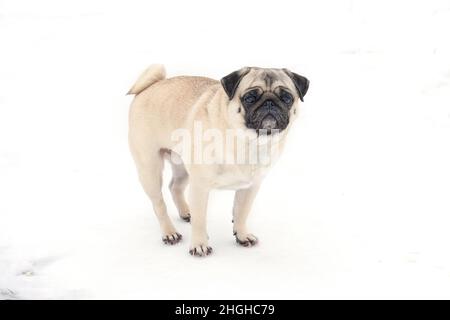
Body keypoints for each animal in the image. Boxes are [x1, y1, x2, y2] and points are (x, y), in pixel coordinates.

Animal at [128, 65, 308, 258]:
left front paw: (242, 234)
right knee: (158, 204)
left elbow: (242, 212)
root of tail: (150, 86)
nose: (269, 103)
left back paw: (186, 212)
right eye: (250, 98)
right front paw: (199, 244)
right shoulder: (200, 186)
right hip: (150, 168)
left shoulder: (251, 187)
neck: (248, 141)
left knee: (175, 187)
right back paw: (170, 232)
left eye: (287, 98)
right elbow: (200, 219)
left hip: (183, 166)